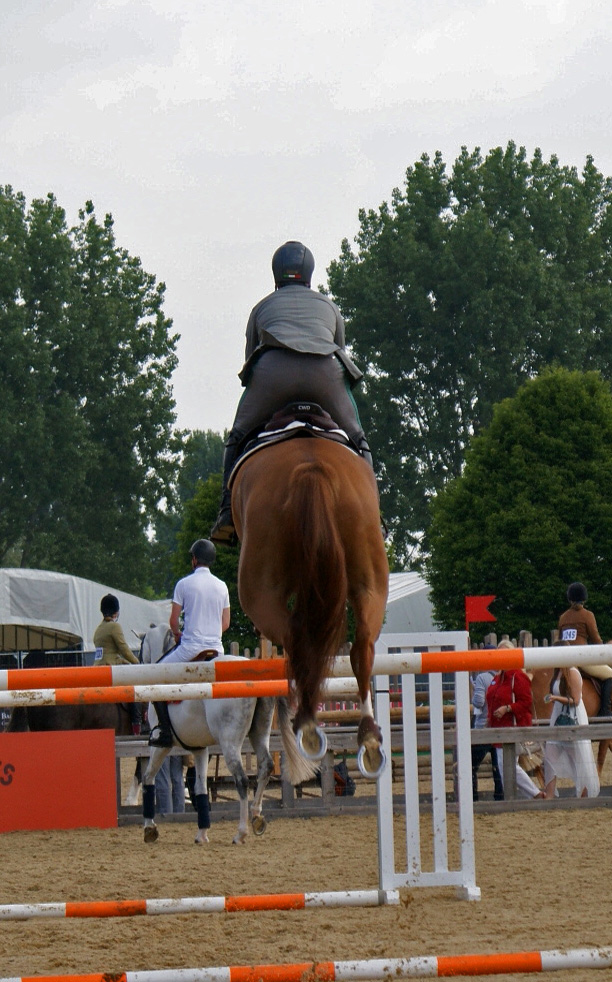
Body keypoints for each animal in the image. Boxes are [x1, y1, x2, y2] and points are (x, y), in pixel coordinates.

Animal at [139, 628, 316, 840]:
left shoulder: (161, 747)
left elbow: (148, 777)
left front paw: (150, 828)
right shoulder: (199, 749)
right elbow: (200, 788)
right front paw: (202, 833)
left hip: (229, 742)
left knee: (242, 779)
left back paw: (241, 832)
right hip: (259, 732)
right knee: (265, 766)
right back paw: (256, 816)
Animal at [232, 442, 390, 780]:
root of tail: (311, 468)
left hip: (259, 592)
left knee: (295, 640)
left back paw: (306, 723)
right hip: (370, 579)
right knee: (362, 647)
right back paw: (369, 737)